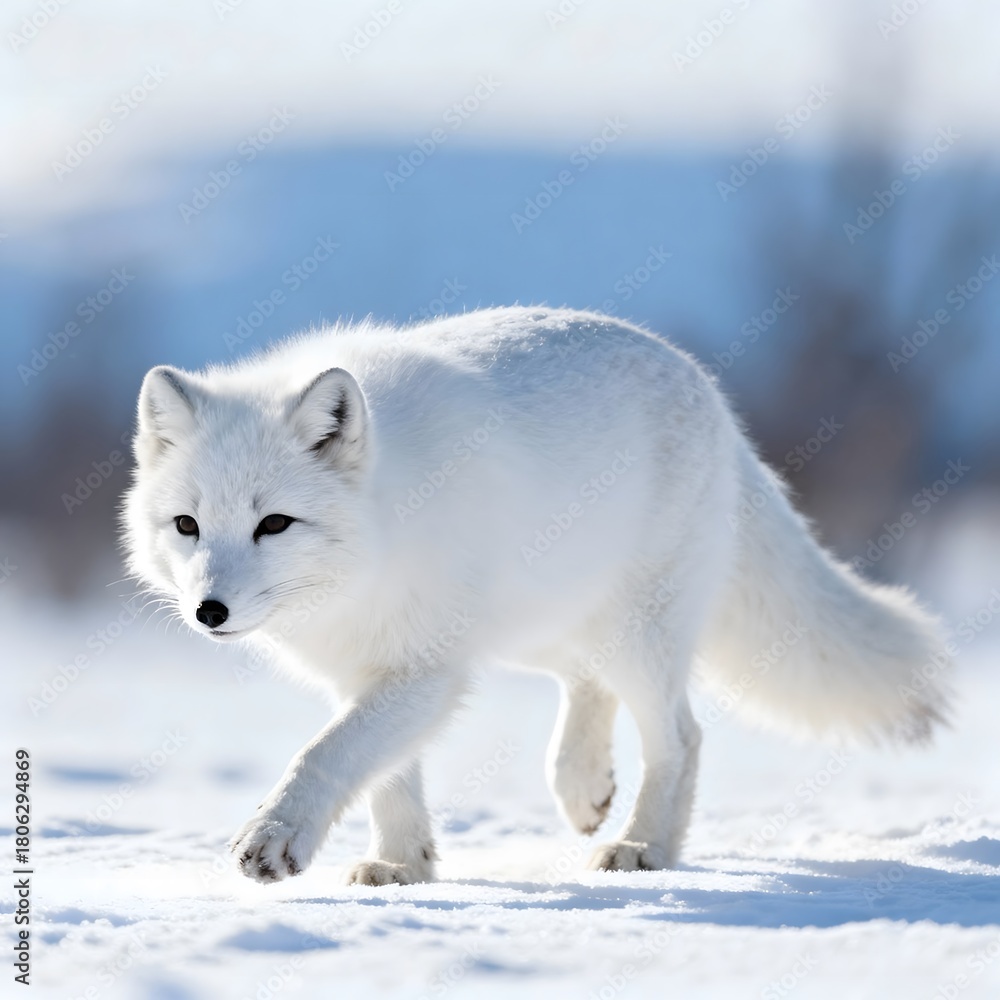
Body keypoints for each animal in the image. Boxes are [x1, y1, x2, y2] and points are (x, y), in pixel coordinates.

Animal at [122, 306, 950, 886]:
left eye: (275, 524)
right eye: (188, 525)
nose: (209, 612)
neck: (378, 540)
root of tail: (710, 392)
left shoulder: (426, 668)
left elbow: (330, 754)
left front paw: (275, 837)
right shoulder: (371, 669)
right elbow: (386, 773)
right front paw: (404, 866)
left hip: (635, 633)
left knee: (680, 737)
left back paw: (643, 845)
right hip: (539, 627)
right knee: (588, 684)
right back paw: (582, 785)